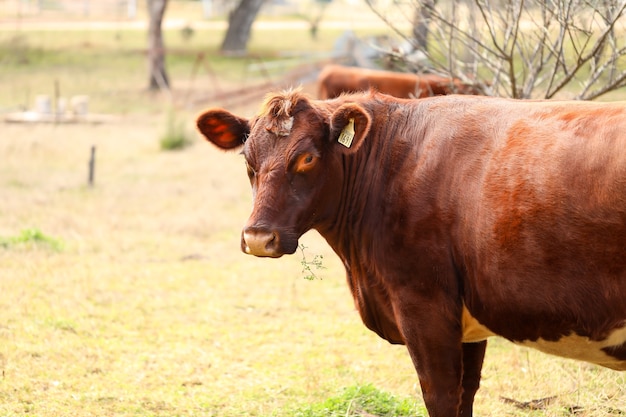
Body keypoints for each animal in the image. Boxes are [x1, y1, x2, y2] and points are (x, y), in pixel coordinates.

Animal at [197, 88, 624, 416]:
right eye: (247, 158)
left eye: (307, 158)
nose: (257, 237)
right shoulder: (465, 323)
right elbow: (466, 394)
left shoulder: (423, 306)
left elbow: (441, 396)